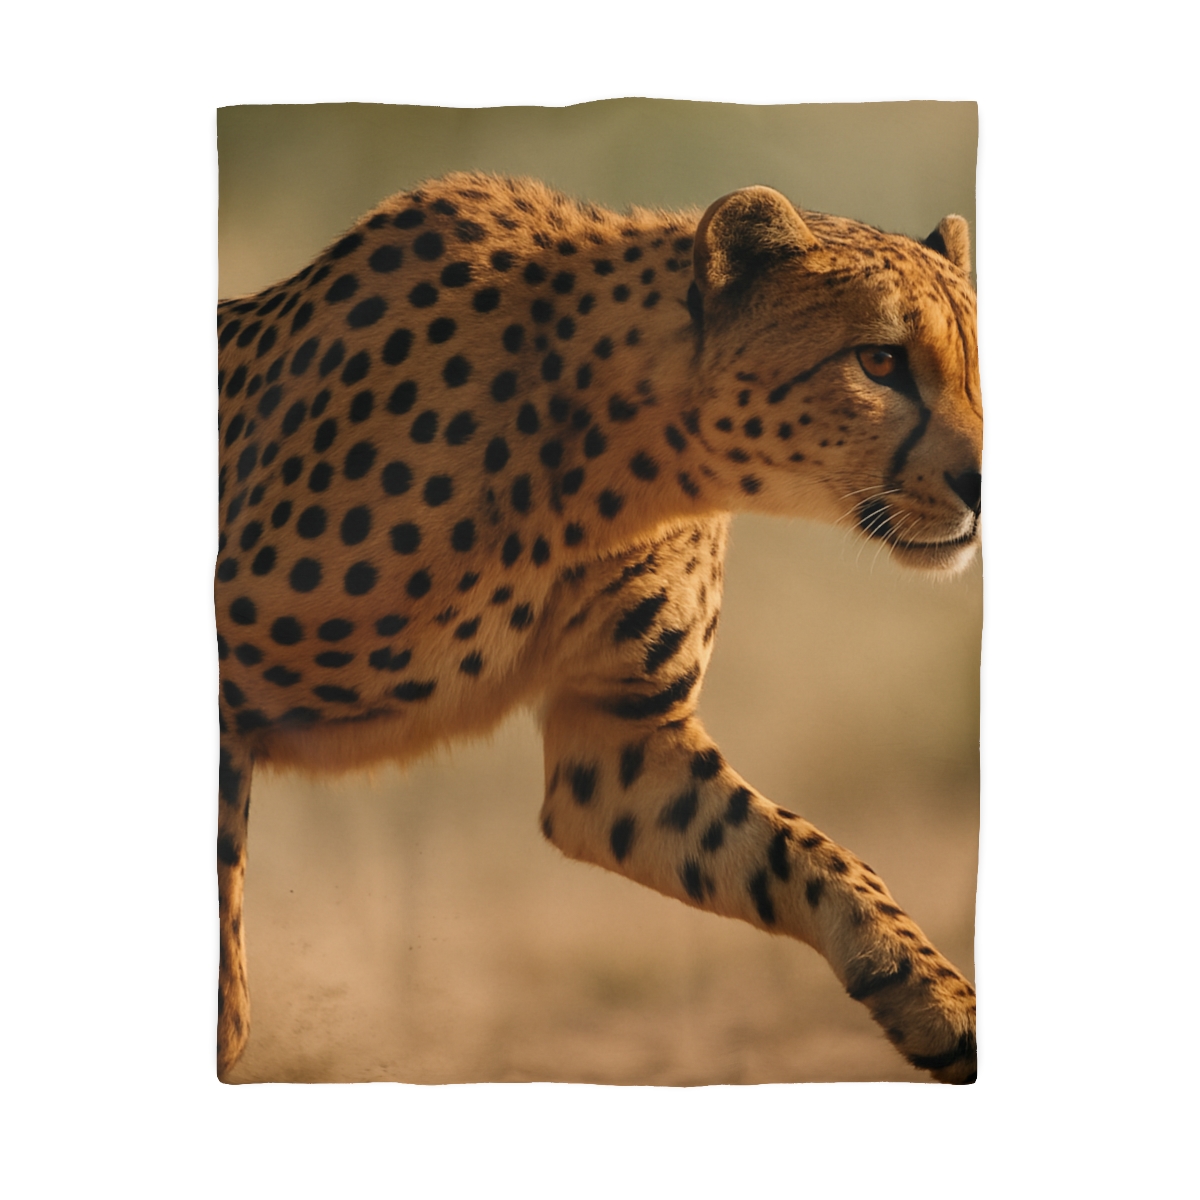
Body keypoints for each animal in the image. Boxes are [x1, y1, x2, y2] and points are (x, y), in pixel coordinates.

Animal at [216, 172, 982, 1084]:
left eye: (978, 365)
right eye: (880, 360)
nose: (983, 485)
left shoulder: (619, 742)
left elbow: (809, 853)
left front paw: (936, 999)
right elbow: (222, 943)